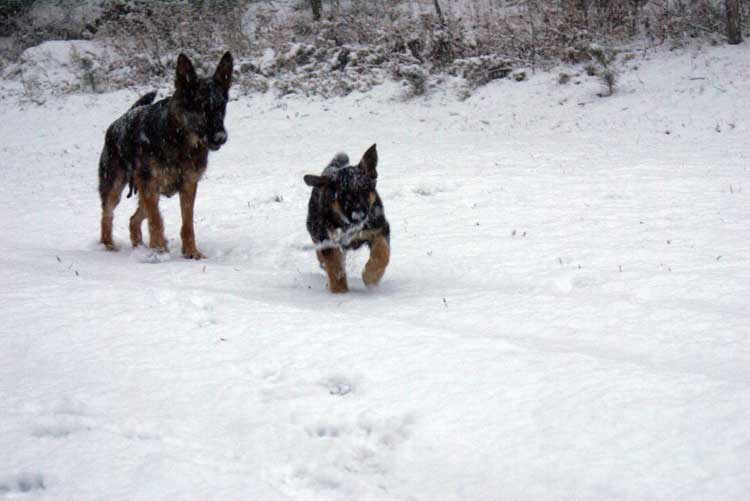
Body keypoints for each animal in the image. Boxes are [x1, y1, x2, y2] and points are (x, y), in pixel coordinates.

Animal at [100, 51, 234, 258]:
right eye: (200, 106)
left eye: (221, 107)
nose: (221, 137)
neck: (179, 140)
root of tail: (120, 120)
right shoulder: (150, 185)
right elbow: (156, 220)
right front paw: (160, 251)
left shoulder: (188, 186)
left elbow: (187, 224)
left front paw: (191, 252)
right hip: (116, 187)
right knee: (108, 214)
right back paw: (109, 246)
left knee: (134, 219)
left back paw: (139, 247)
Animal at [302, 145, 390, 292]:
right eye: (343, 195)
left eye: (365, 190)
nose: (358, 215)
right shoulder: (327, 237)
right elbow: (333, 261)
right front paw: (340, 289)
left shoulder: (379, 228)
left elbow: (382, 252)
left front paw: (371, 277)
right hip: (314, 226)